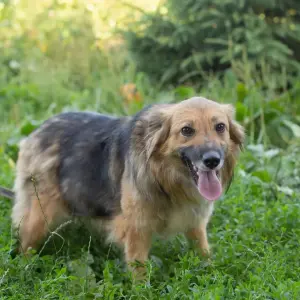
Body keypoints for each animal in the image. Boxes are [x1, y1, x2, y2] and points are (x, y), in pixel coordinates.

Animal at [0, 96, 244, 276]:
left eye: (220, 127)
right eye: (186, 130)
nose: (212, 160)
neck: (167, 180)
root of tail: (36, 131)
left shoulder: (195, 223)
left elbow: (203, 251)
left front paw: (211, 274)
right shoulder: (137, 229)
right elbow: (139, 269)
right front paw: (143, 292)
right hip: (39, 216)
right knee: (25, 245)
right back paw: (25, 269)